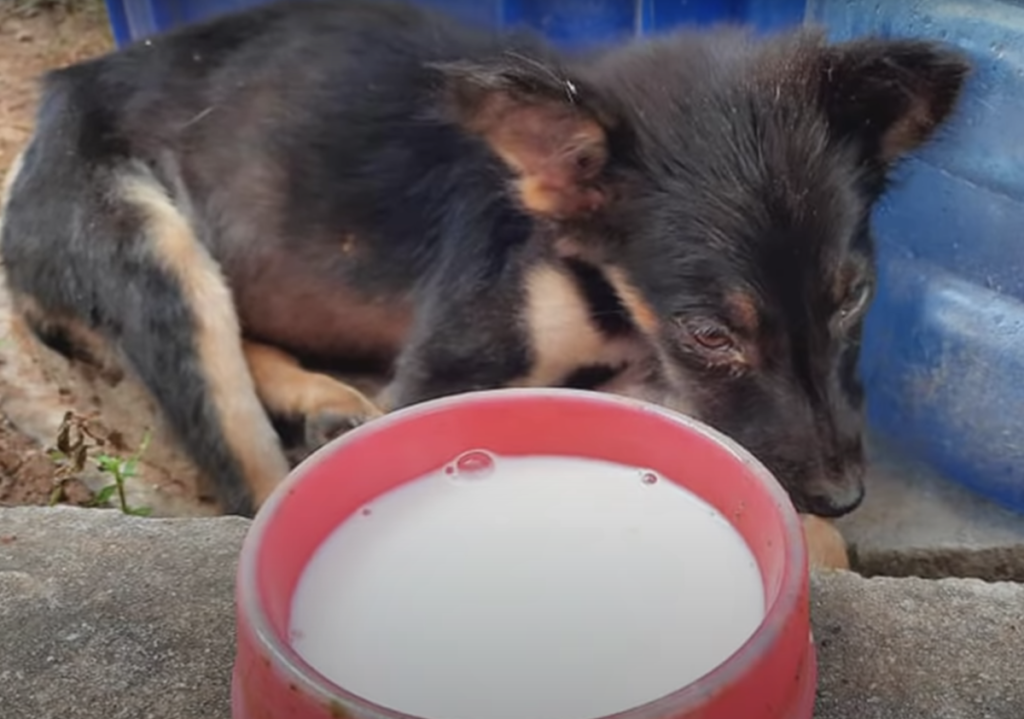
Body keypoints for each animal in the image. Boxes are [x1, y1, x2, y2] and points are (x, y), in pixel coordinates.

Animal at [0, 0, 966, 518]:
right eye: (709, 333)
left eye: (854, 298)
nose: (844, 497)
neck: (597, 280)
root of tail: (65, 88)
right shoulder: (450, 370)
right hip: (151, 250)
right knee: (243, 454)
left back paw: (323, 401)